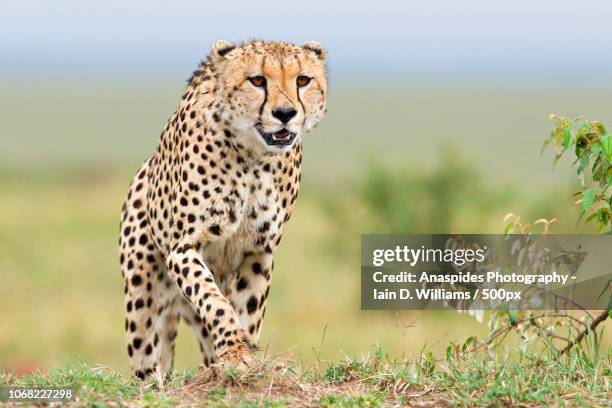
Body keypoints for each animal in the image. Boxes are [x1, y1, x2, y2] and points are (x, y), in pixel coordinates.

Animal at [120, 39, 330, 380]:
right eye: (257, 80)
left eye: (303, 80)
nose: (285, 113)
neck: (255, 156)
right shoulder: (184, 247)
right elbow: (213, 299)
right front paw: (234, 351)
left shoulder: (259, 252)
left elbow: (248, 310)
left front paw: (245, 356)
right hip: (143, 301)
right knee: (147, 360)